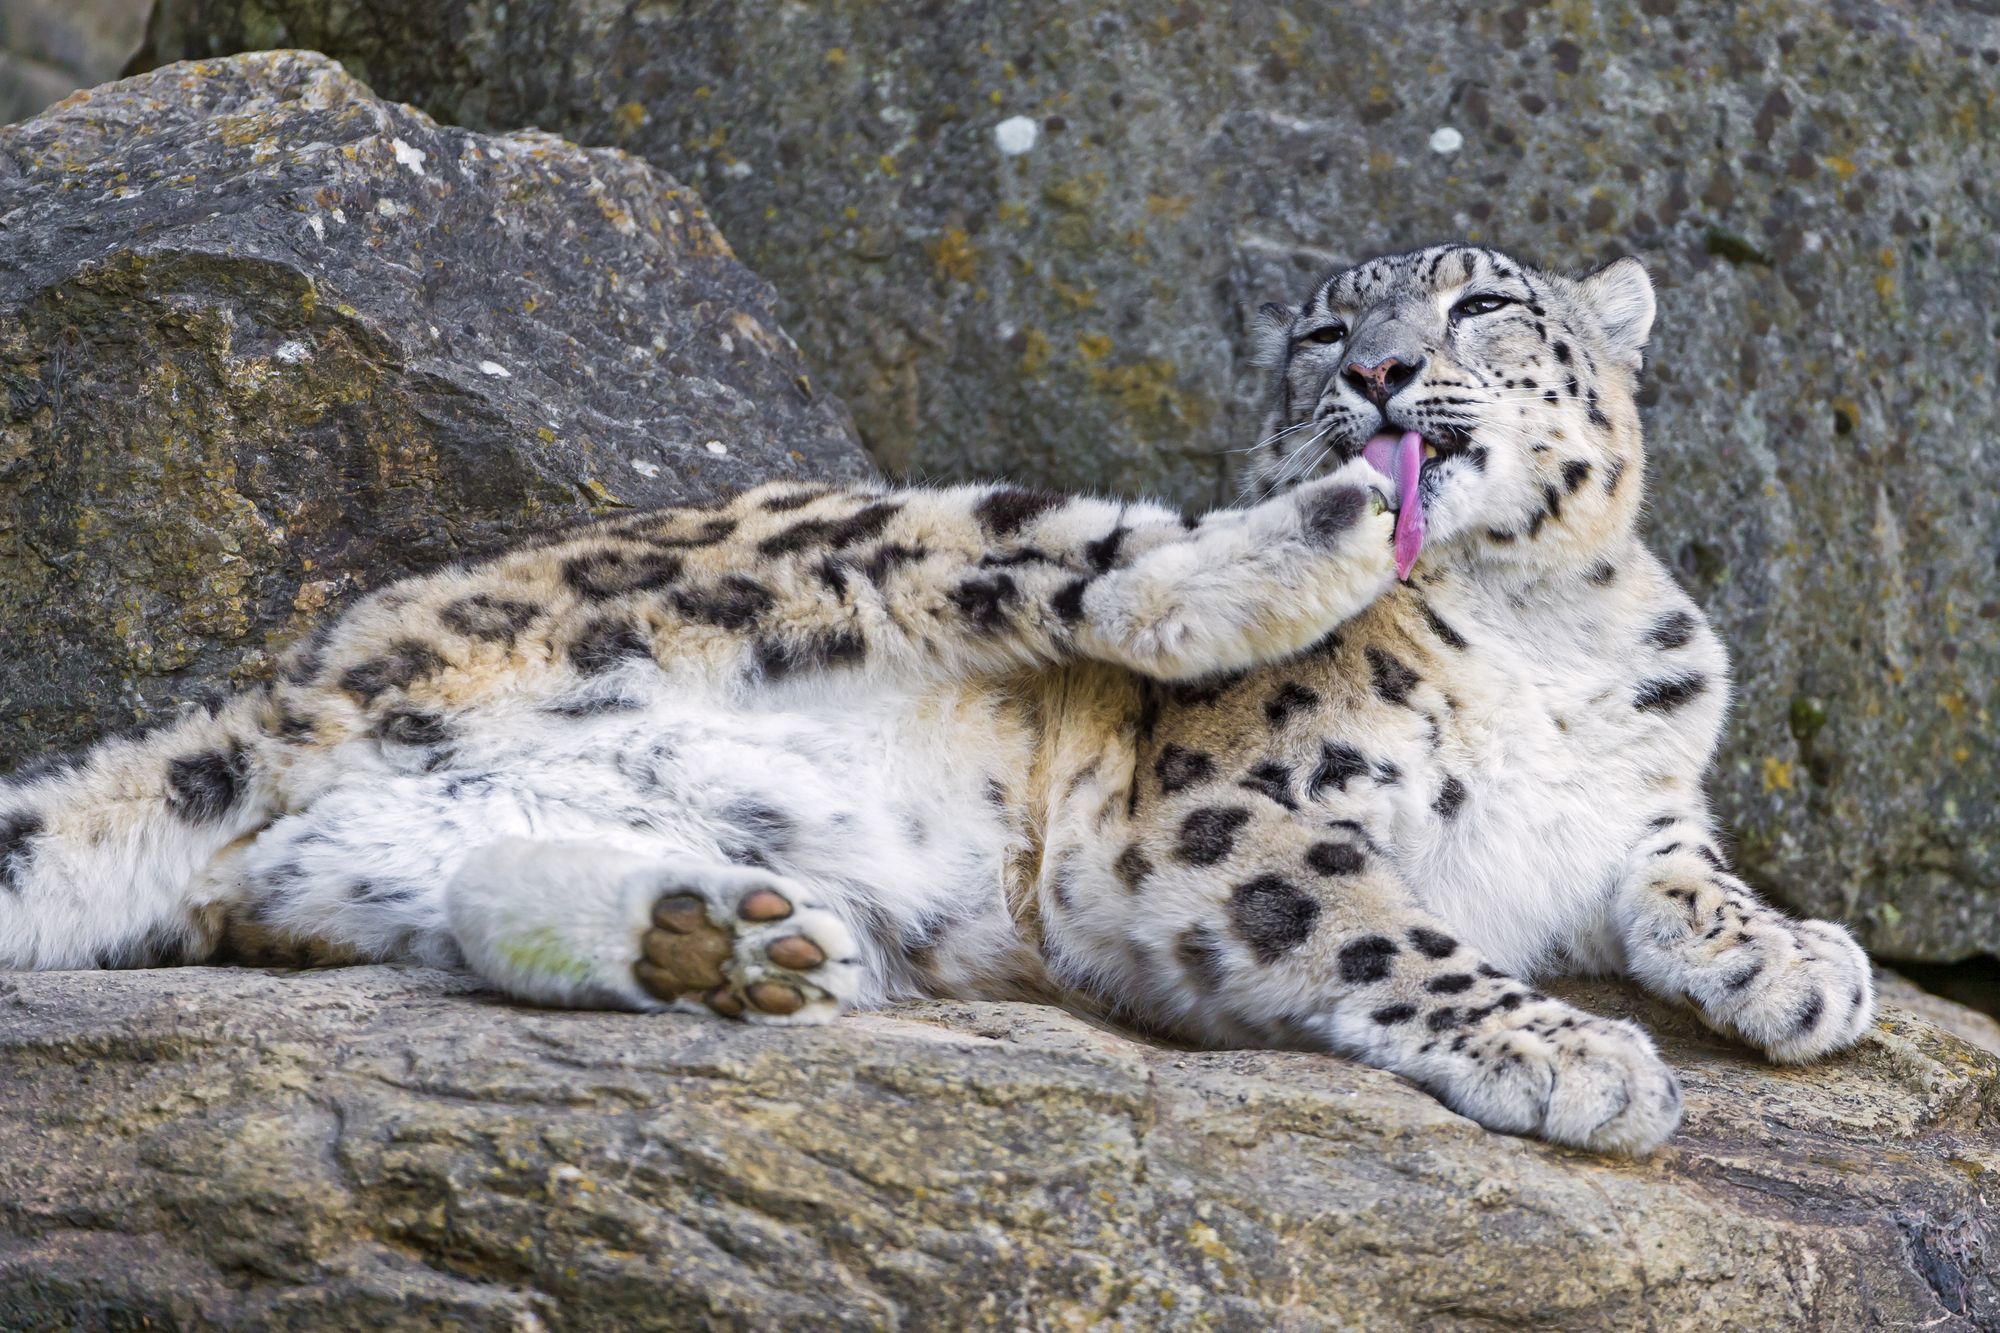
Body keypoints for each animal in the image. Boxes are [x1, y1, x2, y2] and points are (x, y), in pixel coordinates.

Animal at [0, 241, 1872, 1152]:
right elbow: (1383, 931)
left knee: (440, 885)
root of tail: (302, 681)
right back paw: (1309, 539)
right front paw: (1574, 1052)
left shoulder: (1639, 808)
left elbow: (1690, 876)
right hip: (914, 531)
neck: (1544, 627)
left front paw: (1803, 967)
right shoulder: (1230, 808)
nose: (1380, 376)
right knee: (1106, 562)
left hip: (386, 851)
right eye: (1315, 333)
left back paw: (736, 945)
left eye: (1485, 300)